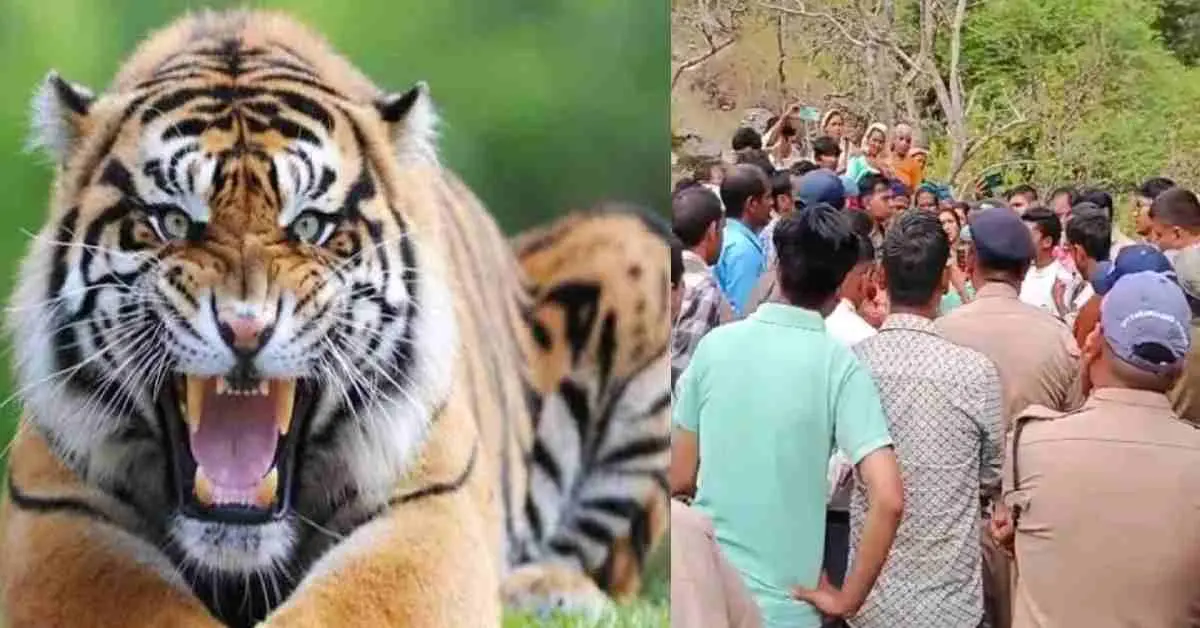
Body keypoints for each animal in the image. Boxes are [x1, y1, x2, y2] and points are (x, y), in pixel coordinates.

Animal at [0, 10, 671, 628]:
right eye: (170, 222)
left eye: (309, 227)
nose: (246, 329)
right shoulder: (56, 509)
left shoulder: (427, 504)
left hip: (634, 243)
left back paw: (552, 591)